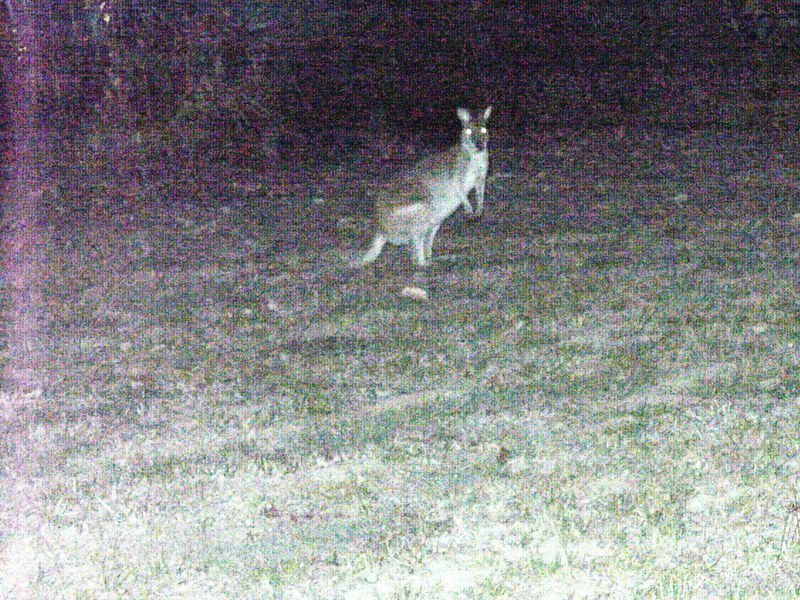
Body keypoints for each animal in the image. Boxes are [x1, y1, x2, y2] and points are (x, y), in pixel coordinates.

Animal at [355, 106, 492, 268]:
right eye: (469, 131)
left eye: (483, 130)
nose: (479, 145)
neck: (475, 155)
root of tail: (380, 229)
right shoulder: (456, 173)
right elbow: (459, 189)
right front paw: (469, 209)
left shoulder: (481, 176)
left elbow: (480, 191)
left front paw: (479, 210)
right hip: (418, 208)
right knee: (415, 241)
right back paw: (423, 264)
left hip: (435, 218)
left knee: (426, 238)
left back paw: (432, 259)